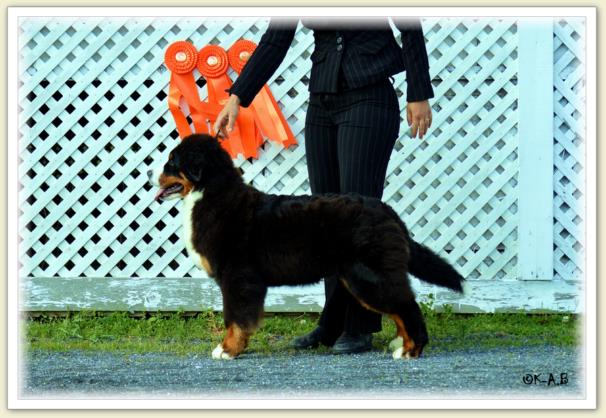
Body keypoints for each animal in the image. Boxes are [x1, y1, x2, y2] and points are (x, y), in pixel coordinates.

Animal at [148, 133, 466, 360]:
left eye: (172, 161)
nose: (150, 173)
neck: (213, 194)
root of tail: (386, 210)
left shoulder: (238, 278)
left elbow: (235, 318)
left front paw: (227, 350)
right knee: (400, 306)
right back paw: (401, 344)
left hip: (369, 275)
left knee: (407, 305)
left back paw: (412, 349)